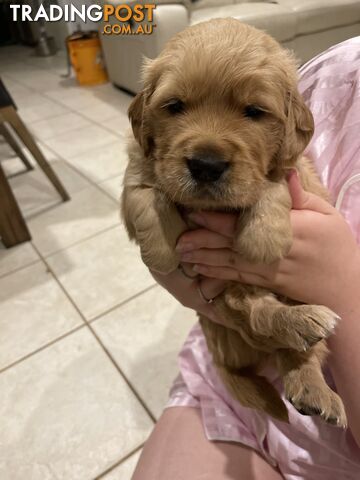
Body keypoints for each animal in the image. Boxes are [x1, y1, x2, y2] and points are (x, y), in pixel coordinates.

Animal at [121, 17, 346, 428]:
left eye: (254, 112)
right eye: (174, 106)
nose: (206, 165)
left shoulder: (294, 169)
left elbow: (274, 182)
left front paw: (263, 240)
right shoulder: (137, 167)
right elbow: (147, 193)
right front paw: (161, 251)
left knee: (291, 347)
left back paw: (312, 378)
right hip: (231, 302)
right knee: (259, 320)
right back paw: (301, 329)